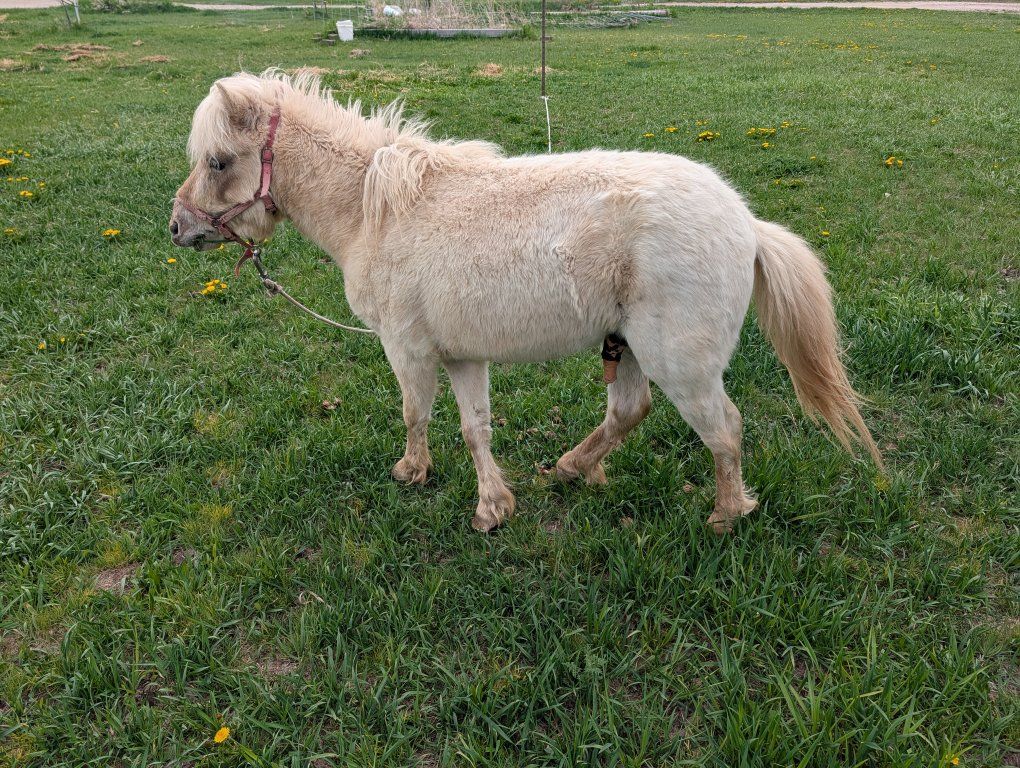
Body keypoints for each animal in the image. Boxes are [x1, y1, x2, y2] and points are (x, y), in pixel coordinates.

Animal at [169, 70, 880, 534]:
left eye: (218, 161)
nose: (178, 227)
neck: (379, 213)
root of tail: (746, 224)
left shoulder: (407, 347)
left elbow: (415, 415)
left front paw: (412, 472)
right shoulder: (461, 354)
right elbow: (474, 426)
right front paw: (494, 506)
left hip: (681, 363)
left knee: (723, 430)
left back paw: (726, 515)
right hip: (630, 347)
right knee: (629, 411)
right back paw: (571, 468)